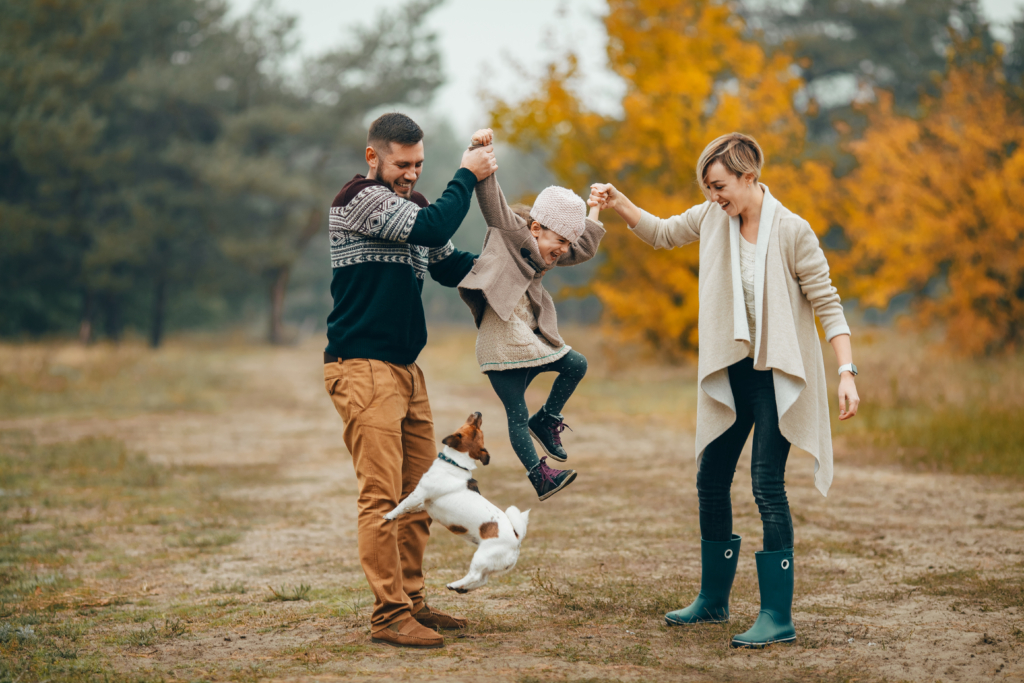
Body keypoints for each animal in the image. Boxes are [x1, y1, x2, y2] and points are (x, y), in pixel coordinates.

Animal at [382, 411, 532, 593]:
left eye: (474, 428)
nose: (478, 413)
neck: (456, 463)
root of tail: (517, 538)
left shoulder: (418, 494)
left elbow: (402, 504)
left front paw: (389, 515)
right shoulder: (424, 502)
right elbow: (412, 508)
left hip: (481, 557)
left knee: (475, 575)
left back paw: (454, 584)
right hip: (489, 563)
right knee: (483, 579)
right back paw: (462, 588)